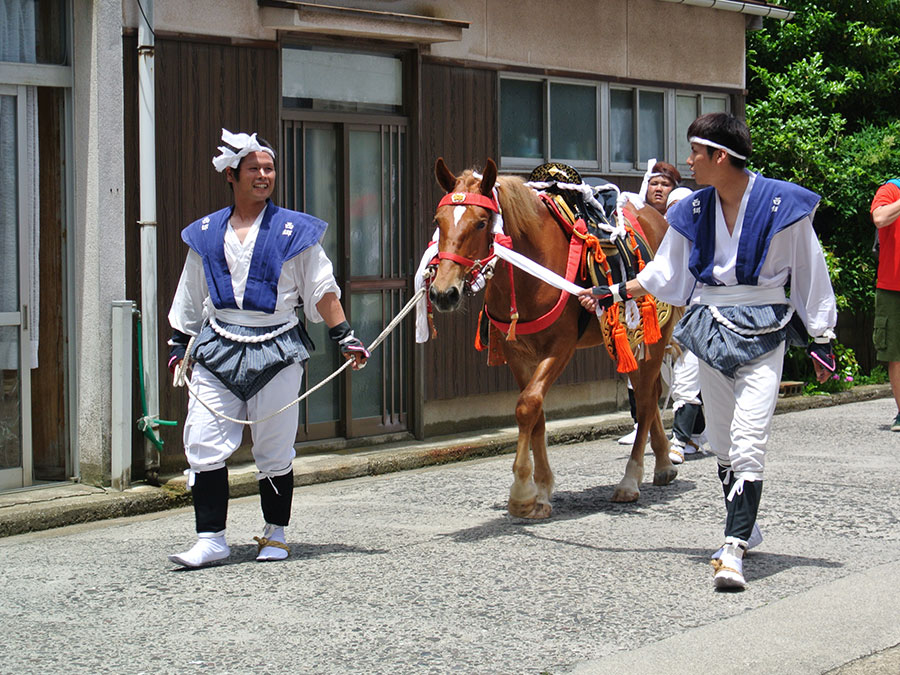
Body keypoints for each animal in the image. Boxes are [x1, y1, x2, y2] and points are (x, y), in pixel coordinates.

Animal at [428, 157, 676, 516]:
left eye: (481, 223)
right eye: (438, 221)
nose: (443, 293)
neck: (528, 271)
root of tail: (659, 218)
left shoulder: (560, 347)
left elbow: (527, 405)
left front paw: (522, 492)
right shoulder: (517, 352)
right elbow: (536, 414)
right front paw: (542, 490)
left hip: (657, 331)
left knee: (644, 400)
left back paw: (630, 480)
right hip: (628, 339)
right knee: (649, 391)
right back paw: (663, 463)